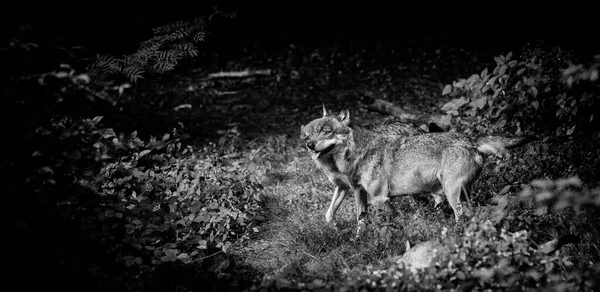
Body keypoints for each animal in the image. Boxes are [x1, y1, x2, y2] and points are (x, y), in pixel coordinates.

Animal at [300, 106, 536, 224]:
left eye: (327, 132)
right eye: (308, 135)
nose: (309, 145)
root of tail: (470, 139)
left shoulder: (379, 198)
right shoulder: (355, 190)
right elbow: (351, 219)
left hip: (453, 194)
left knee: (462, 216)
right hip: (453, 192)